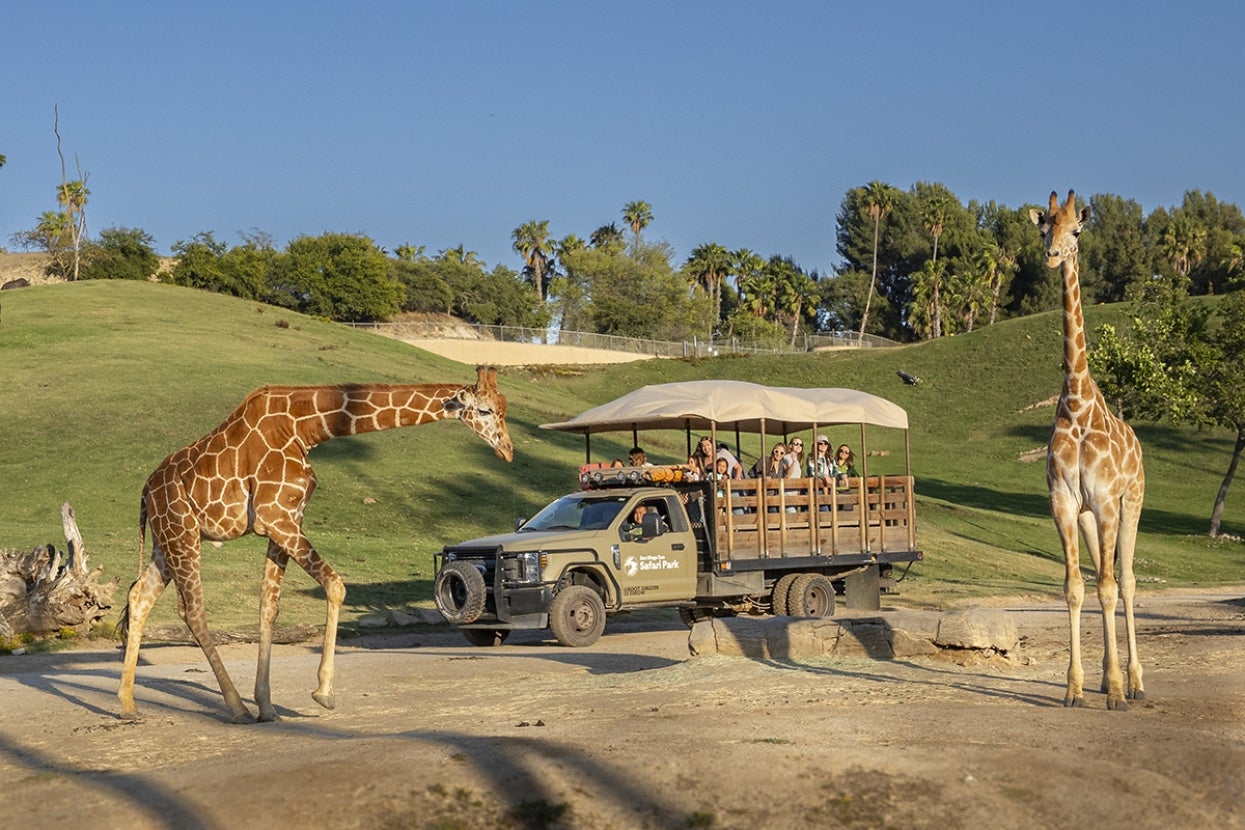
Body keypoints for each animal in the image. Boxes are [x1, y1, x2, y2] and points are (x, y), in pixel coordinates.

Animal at [117, 365, 513, 723]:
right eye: (484, 410)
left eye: (503, 407)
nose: (508, 451)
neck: (306, 427)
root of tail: (145, 491)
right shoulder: (276, 517)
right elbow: (335, 585)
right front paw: (323, 693)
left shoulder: (285, 521)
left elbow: (269, 608)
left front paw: (268, 706)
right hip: (182, 532)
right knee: (192, 611)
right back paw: (234, 707)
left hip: (167, 540)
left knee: (139, 596)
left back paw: (128, 704)